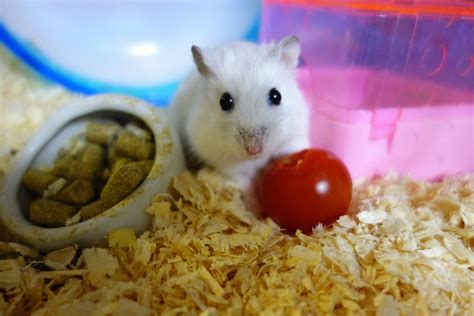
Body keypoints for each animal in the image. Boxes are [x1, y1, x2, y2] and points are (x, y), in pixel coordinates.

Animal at [168, 35, 310, 200]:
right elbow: (247, 185)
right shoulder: (228, 165)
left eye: (276, 96)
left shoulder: (297, 135)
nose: (254, 150)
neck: (256, 159)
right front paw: (255, 206)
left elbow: (292, 148)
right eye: (224, 101)